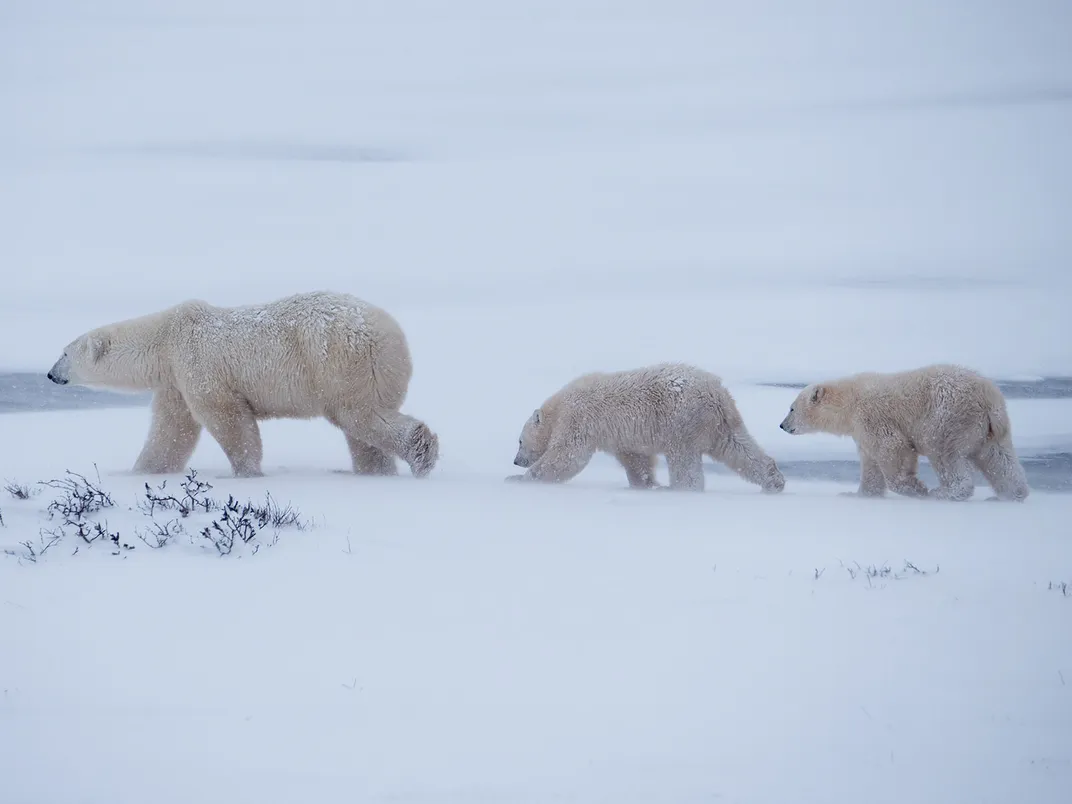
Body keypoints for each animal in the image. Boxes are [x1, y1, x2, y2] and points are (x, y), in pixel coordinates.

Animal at [46, 289, 439, 478]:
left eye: (64, 353)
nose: (50, 375)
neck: (165, 339)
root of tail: (392, 333)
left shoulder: (198, 362)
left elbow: (228, 419)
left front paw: (246, 472)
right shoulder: (176, 380)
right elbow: (171, 430)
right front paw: (141, 471)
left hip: (340, 363)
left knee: (361, 416)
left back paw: (421, 454)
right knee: (361, 432)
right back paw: (374, 472)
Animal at [780, 366, 1029, 503]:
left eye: (791, 408)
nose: (782, 425)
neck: (849, 404)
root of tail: (990, 397)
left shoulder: (873, 418)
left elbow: (893, 448)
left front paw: (917, 488)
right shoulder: (862, 433)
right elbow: (870, 463)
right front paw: (856, 494)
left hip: (948, 419)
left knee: (946, 454)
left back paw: (943, 492)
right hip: (989, 431)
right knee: (999, 459)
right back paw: (1010, 495)